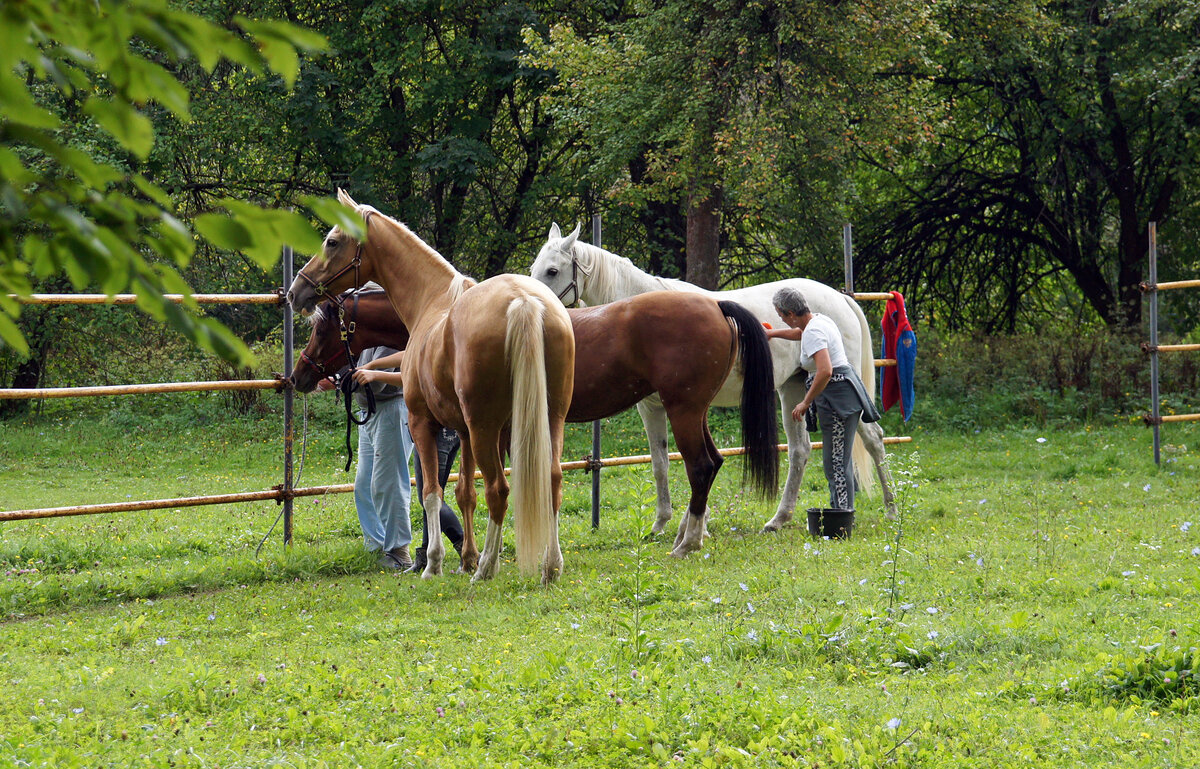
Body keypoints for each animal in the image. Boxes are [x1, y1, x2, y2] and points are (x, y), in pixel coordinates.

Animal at [288, 190, 573, 580]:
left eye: (332, 242)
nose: (295, 291)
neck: (432, 299)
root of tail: (524, 300)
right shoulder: (464, 432)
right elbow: (464, 492)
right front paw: (466, 558)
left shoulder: (425, 423)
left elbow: (431, 493)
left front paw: (435, 563)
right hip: (546, 419)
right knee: (552, 481)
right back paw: (549, 566)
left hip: (486, 428)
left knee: (498, 490)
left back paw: (487, 569)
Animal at [290, 285, 777, 554]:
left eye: (321, 327)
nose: (299, 376)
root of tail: (717, 305)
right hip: (694, 412)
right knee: (711, 465)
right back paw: (685, 536)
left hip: (683, 411)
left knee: (700, 467)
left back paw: (686, 543)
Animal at [530, 221, 897, 532]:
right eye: (533, 269)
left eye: (552, 270)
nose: (535, 304)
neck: (636, 318)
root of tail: (841, 299)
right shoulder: (652, 407)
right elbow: (660, 463)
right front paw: (661, 524)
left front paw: (694, 525)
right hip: (792, 391)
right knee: (800, 451)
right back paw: (778, 519)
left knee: (873, 440)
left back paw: (891, 509)